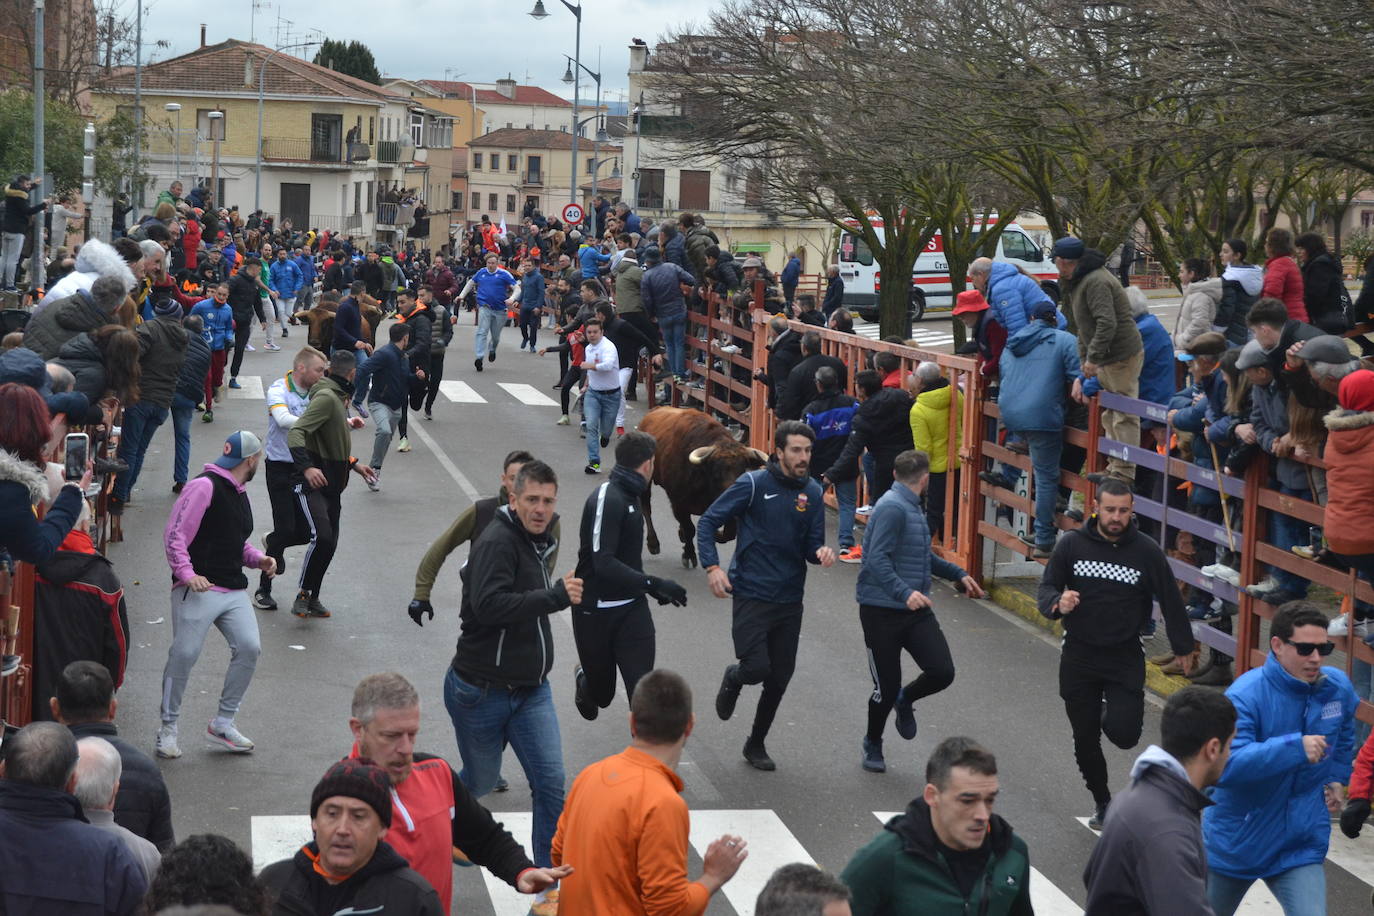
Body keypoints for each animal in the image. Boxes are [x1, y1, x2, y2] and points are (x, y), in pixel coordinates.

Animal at [634, 406, 769, 565]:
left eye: (742, 469)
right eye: (716, 471)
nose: (735, 494)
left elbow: (729, 533)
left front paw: (714, 534)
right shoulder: (678, 504)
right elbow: (690, 529)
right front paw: (689, 554)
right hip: (646, 481)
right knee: (646, 507)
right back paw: (653, 543)